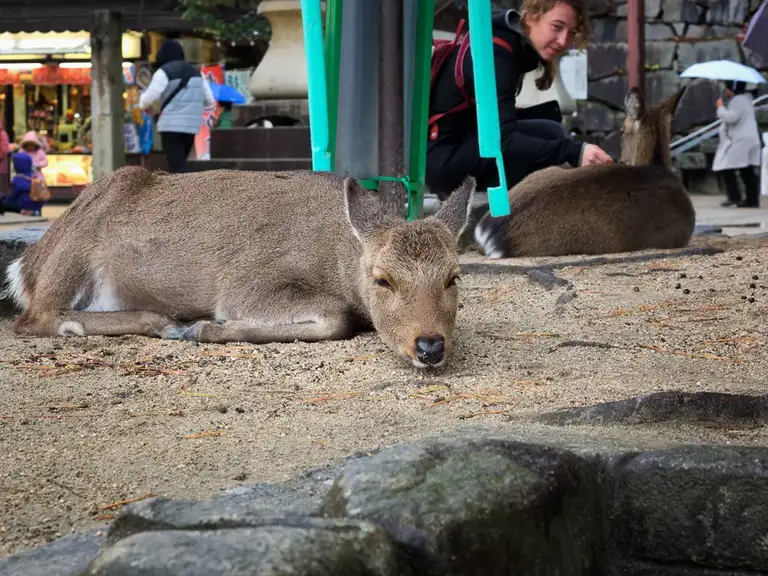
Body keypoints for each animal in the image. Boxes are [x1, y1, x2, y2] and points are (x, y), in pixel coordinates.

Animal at [2, 168, 476, 369]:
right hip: (74, 252)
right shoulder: (246, 285)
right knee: (32, 318)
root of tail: (29, 262)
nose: (429, 346)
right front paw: (205, 329)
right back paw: (163, 322)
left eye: (454, 276)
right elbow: (336, 317)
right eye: (382, 279)